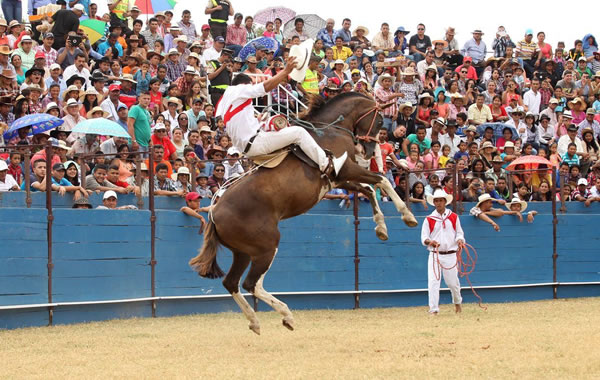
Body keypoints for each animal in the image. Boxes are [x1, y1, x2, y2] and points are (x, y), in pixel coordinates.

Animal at [190, 93, 414, 336]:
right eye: (381, 121)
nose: (370, 151)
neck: (330, 130)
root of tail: (214, 213)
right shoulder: (346, 169)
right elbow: (381, 180)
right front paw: (407, 215)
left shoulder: (340, 178)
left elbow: (369, 190)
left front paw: (381, 228)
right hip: (266, 247)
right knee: (251, 284)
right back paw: (286, 315)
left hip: (243, 253)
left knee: (231, 283)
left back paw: (255, 321)